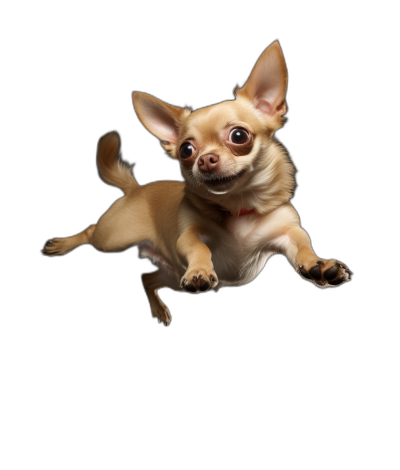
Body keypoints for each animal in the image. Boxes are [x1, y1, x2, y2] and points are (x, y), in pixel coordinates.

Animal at [42, 41, 352, 324]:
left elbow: (303, 244)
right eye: (186, 150)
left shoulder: (288, 232)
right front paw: (200, 270)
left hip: (171, 276)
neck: (238, 206)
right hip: (114, 239)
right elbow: (198, 247)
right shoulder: (189, 236)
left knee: (145, 278)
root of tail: (136, 189)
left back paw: (158, 309)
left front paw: (319, 265)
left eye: (239, 136)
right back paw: (63, 245)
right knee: (92, 231)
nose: (205, 159)